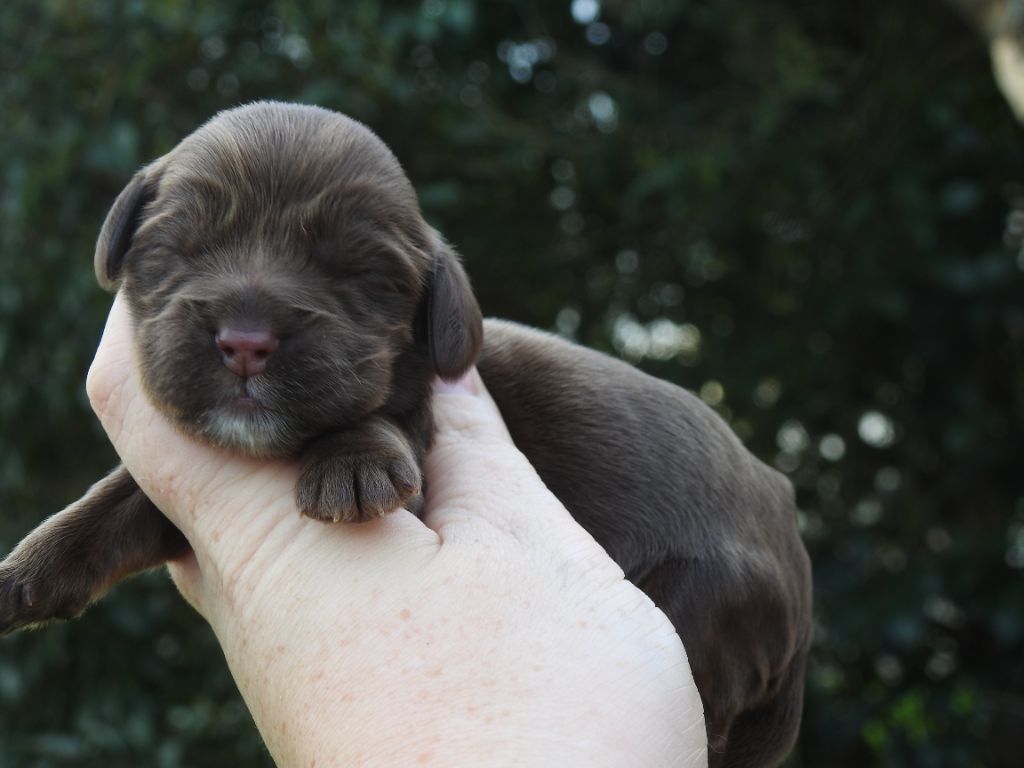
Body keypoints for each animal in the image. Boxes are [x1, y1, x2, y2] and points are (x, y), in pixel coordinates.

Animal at [2, 102, 815, 768]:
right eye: (178, 250)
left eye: (362, 278)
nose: (245, 341)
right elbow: (111, 508)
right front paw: (25, 572)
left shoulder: (419, 434)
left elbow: (378, 416)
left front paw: (353, 460)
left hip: (706, 605)